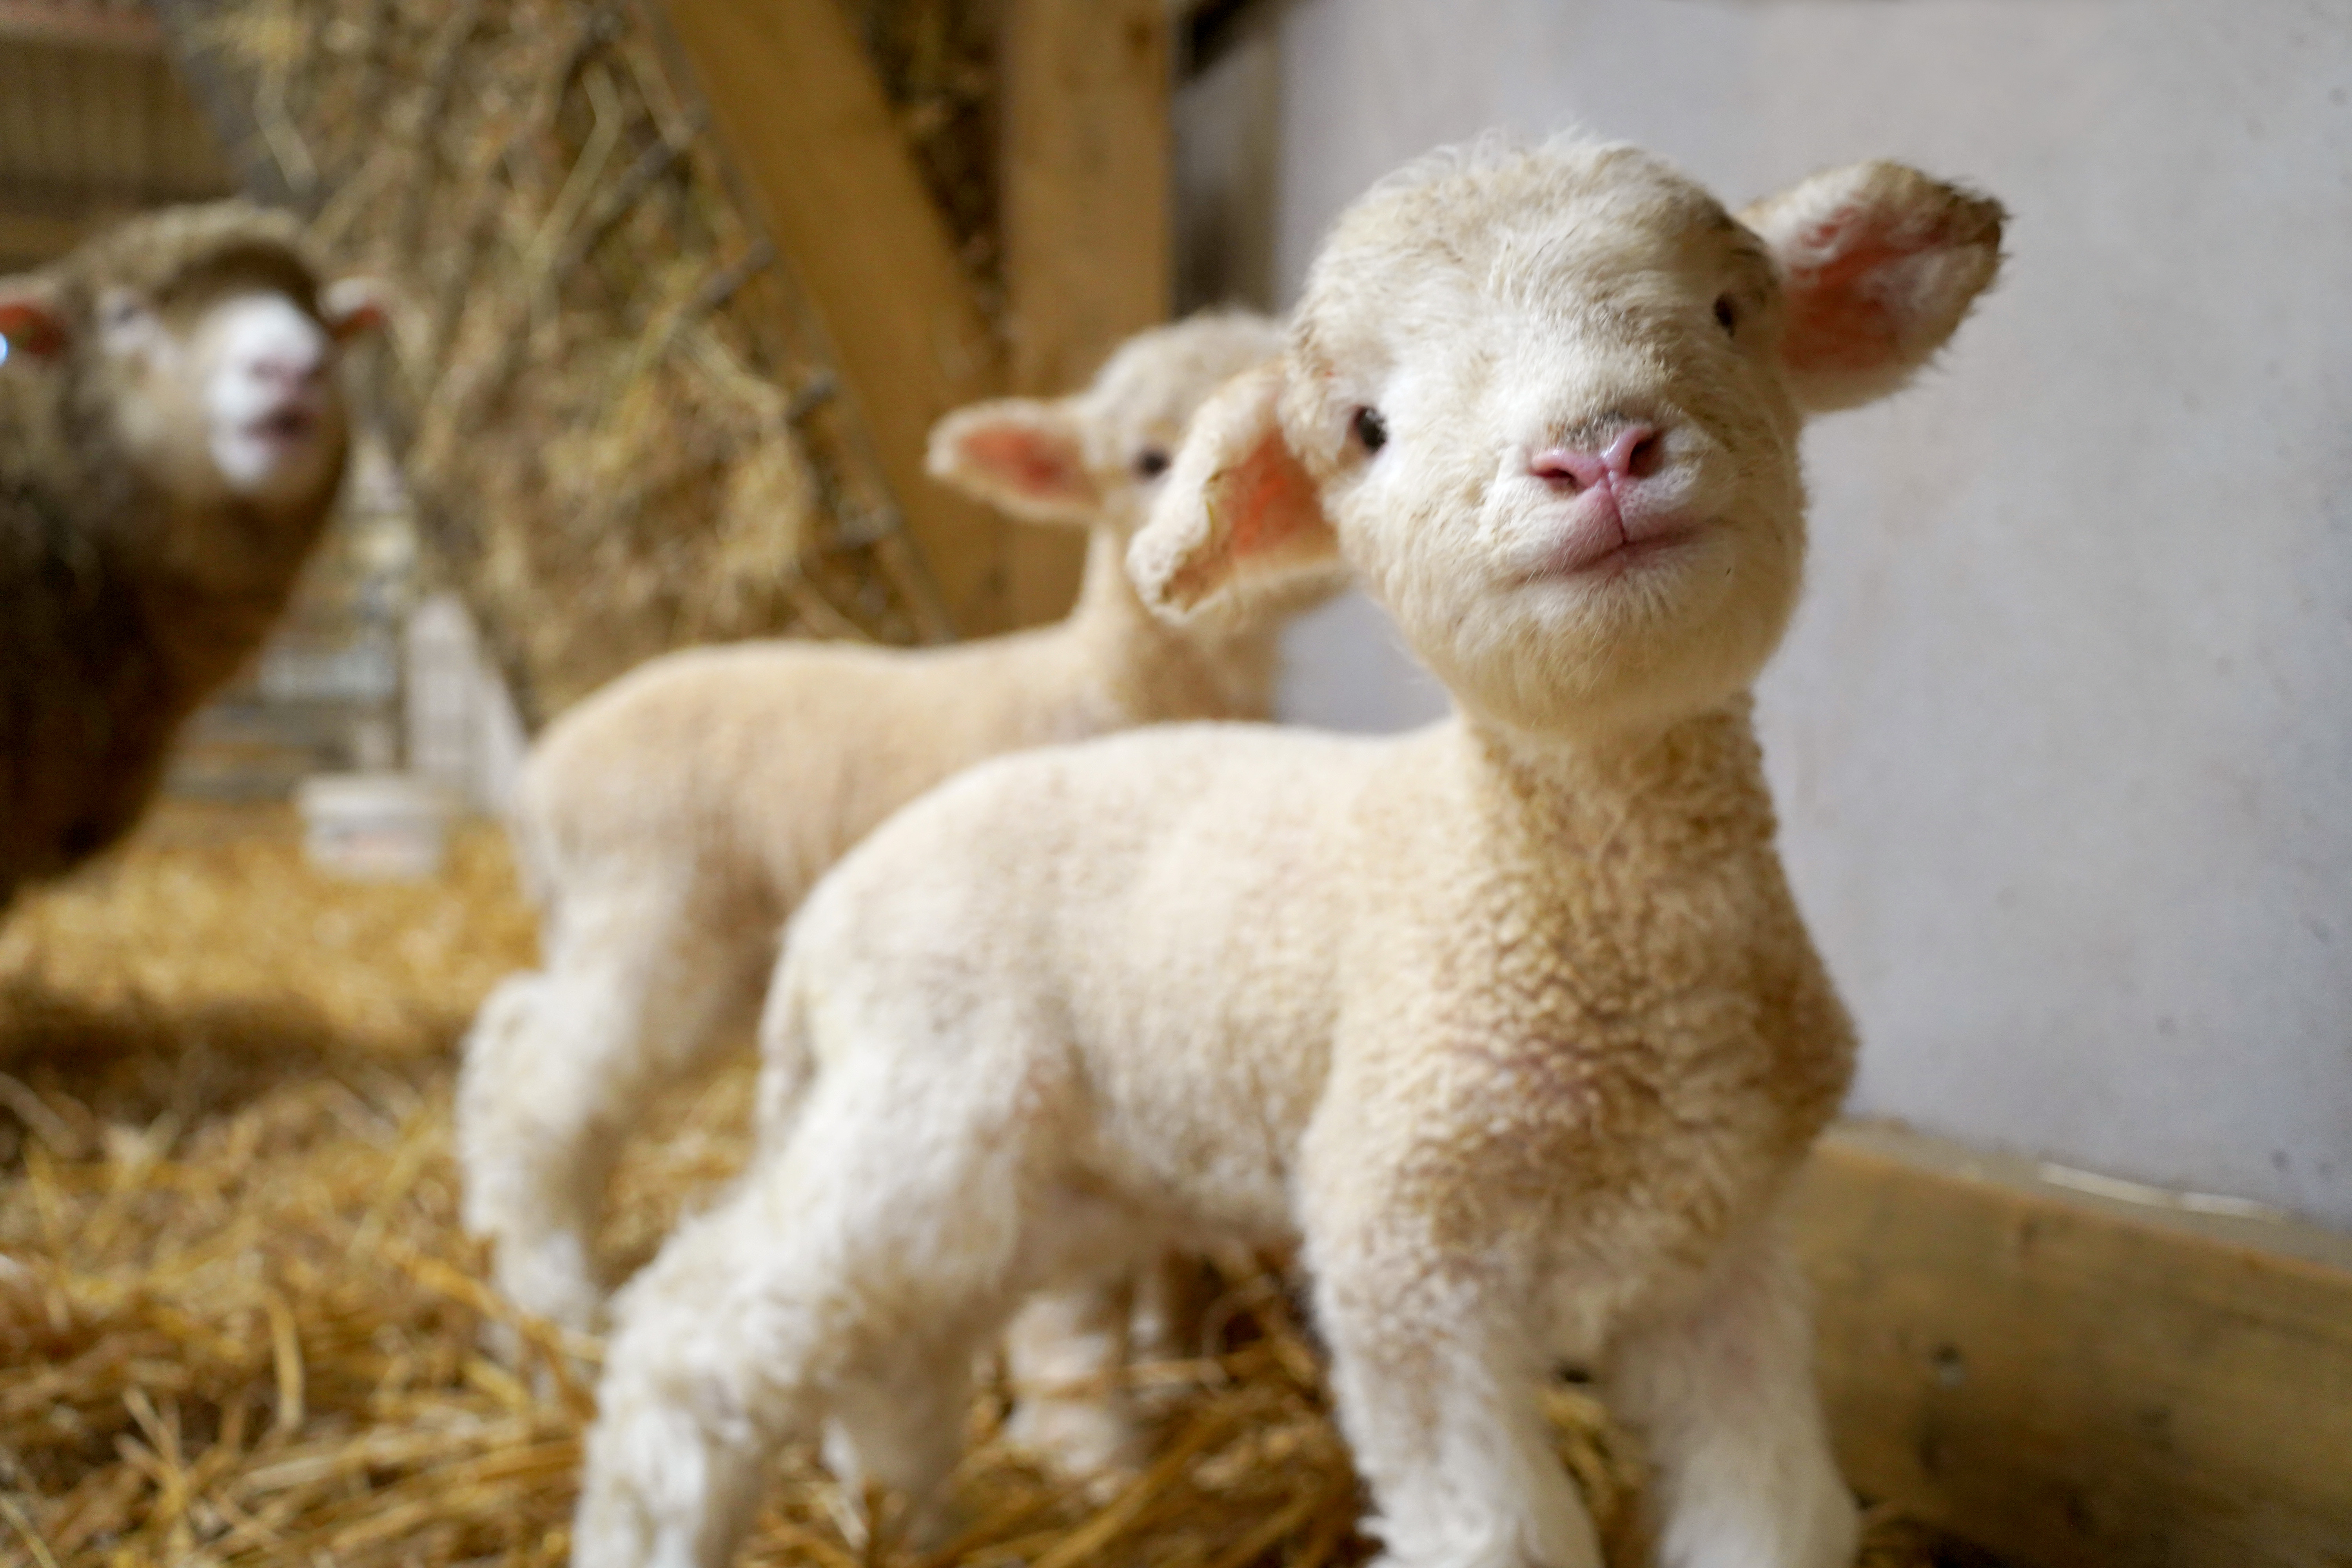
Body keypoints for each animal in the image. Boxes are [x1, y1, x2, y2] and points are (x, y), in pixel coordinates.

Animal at [452, 310, 1300, 1360]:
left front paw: (1165, 1330)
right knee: (543, 1080)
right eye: (1149, 458)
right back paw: (553, 1287)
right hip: (652, 912)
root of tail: (537, 785)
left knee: (515, 1032)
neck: (1109, 676)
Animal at [570, 136, 2005, 1568]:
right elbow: (1499, 1536)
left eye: (1727, 313)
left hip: (1047, 1181)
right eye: (1366, 428)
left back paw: (915, 1516)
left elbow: (1779, 1515)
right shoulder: (1401, 1260)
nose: (1597, 453)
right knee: (696, 1338)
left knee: (903, 1354)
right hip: (921, 1109)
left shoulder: (1720, 1266)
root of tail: (829, 921)